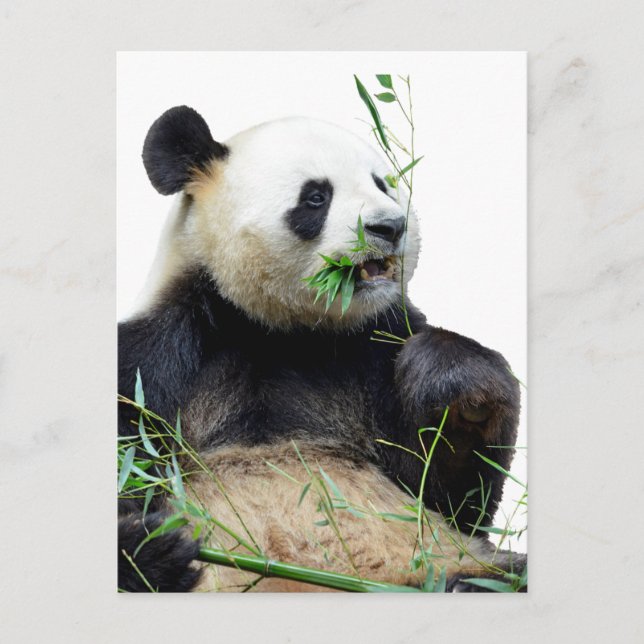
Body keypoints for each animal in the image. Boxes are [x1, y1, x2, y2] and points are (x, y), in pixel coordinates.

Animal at [118, 105, 523, 593]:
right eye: (316, 197)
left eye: (382, 183)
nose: (391, 226)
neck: (280, 330)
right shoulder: (162, 353)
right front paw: (148, 547)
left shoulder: (373, 348)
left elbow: (450, 495)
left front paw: (458, 388)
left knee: (498, 569)